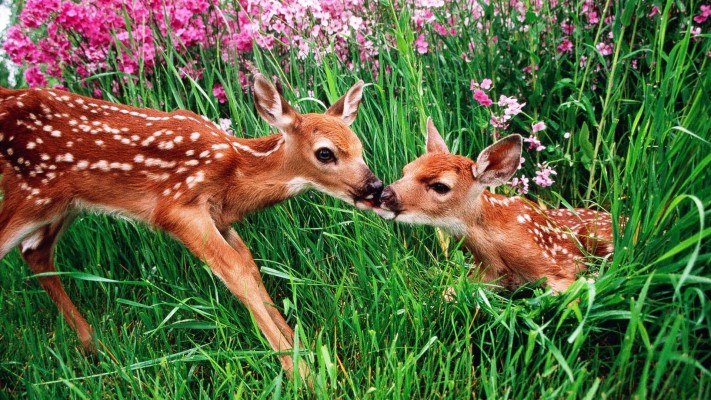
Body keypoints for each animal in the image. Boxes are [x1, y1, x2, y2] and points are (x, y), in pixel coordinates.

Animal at [0, 74, 384, 378]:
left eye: (360, 147)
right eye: (325, 153)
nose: (376, 187)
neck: (233, 174)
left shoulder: (220, 218)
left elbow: (250, 266)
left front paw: (309, 354)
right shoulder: (178, 207)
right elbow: (236, 274)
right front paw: (302, 373)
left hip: (62, 203)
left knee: (35, 251)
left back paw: (96, 347)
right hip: (29, 192)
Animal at [378, 117, 616, 292]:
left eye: (440, 186)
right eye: (406, 170)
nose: (385, 194)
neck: (493, 249)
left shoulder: (552, 266)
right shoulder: (483, 275)